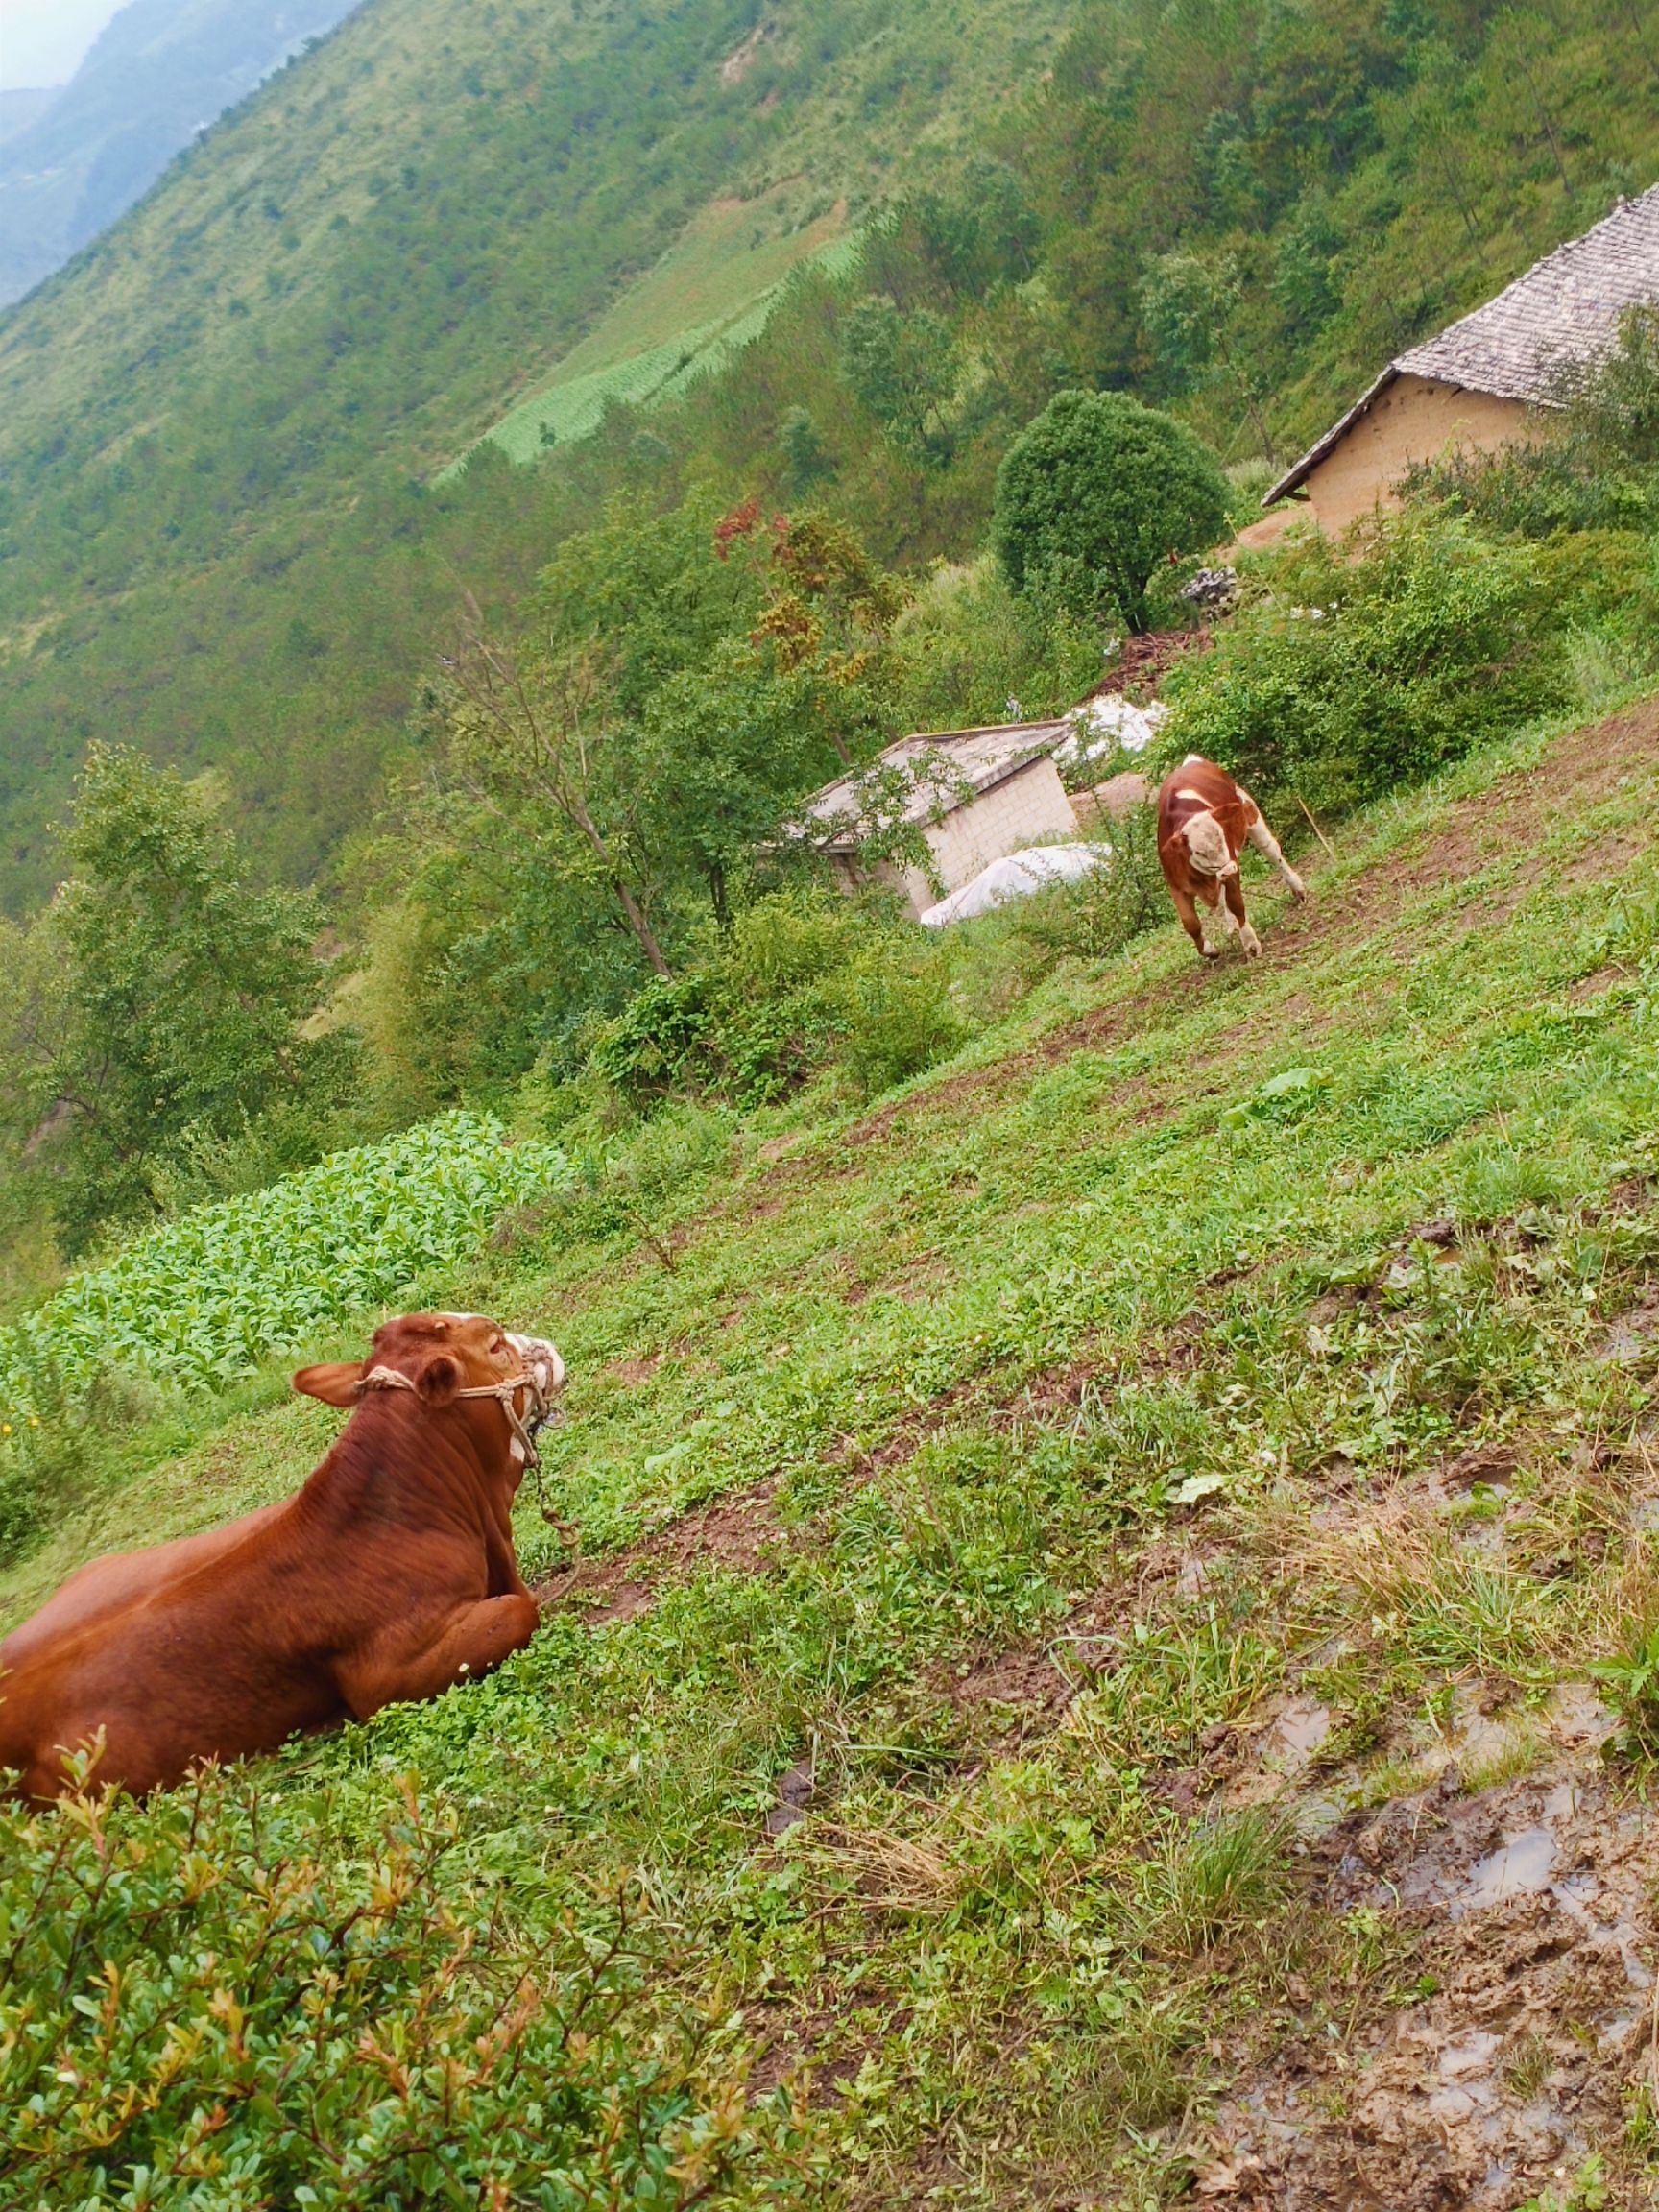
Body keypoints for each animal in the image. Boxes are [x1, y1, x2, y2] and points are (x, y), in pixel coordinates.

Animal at [1159, 752, 1309, 959]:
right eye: (1198, 851)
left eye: (1223, 837)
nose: (1228, 868)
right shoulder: (1176, 885)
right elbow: (1190, 923)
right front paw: (1210, 950)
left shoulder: (1231, 865)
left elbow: (1236, 903)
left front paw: (1251, 945)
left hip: (1250, 811)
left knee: (1272, 851)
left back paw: (1298, 890)